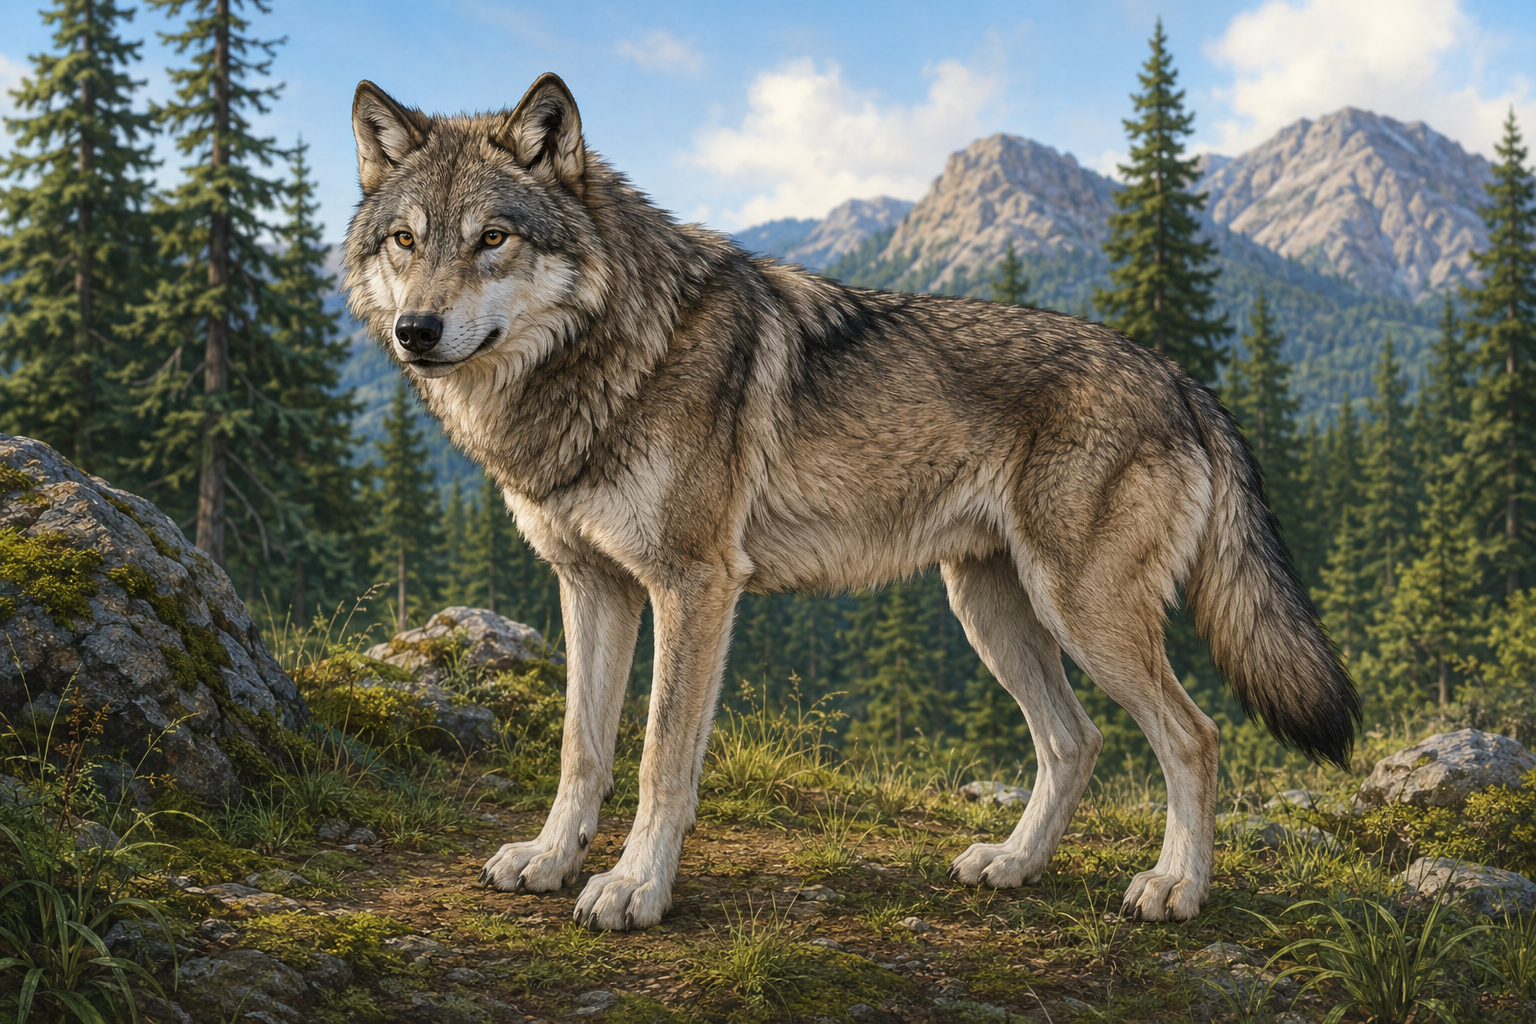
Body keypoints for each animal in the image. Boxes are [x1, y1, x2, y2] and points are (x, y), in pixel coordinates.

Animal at [343, 73, 1358, 931]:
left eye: (493, 238)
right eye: (406, 241)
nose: (417, 330)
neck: (608, 356)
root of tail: (1181, 377)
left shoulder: (694, 584)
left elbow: (661, 756)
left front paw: (634, 888)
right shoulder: (593, 585)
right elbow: (580, 747)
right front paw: (553, 860)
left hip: (1083, 611)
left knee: (1193, 737)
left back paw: (1176, 887)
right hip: (990, 610)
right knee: (1075, 742)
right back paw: (1014, 865)